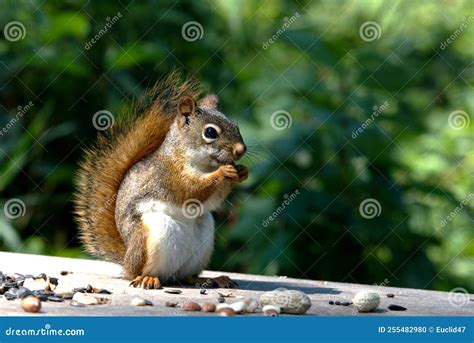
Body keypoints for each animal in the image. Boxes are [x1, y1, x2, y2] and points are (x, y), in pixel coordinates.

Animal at [74, 72, 248, 290]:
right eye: (210, 132)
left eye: (236, 126)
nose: (241, 150)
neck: (202, 164)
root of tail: (126, 258)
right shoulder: (168, 175)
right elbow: (190, 191)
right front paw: (223, 172)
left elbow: (212, 200)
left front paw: (242, 171)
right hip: (151, 236)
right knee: (135, 273)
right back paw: (147, 278)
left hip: (202, 241)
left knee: (187, 276)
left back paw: (210, 279)